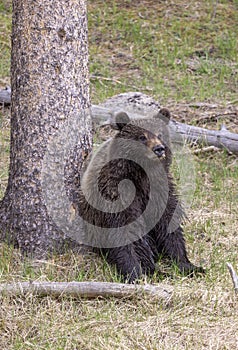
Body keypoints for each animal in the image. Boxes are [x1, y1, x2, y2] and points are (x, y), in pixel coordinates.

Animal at [77, 108, 204, 284]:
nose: (159, 149)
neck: (141, 174)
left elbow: (170, 224)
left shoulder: (159, 190)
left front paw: (188, 265)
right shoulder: (116, 196)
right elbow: (125, 233)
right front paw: (134, 273)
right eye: (142, 136)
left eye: (160, 133)